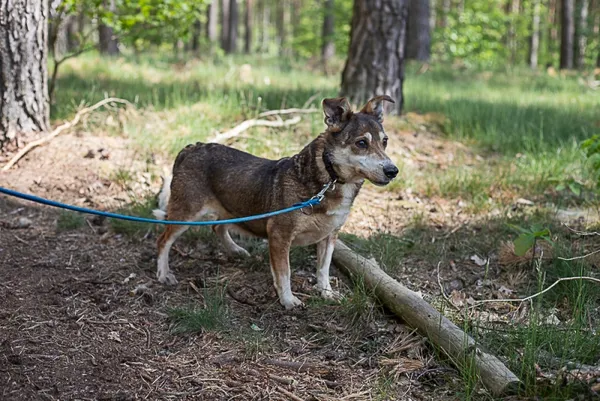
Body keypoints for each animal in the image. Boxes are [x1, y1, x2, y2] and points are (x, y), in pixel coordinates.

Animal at [154, 95, 398, 308]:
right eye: (361, 143)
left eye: (385, 141)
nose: (393, 171)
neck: (329, 180)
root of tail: (190, 148)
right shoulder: (280, 236)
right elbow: (284, 273)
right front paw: (288, 300)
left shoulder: (330, 236)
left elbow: (323, 268)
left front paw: (326, 292)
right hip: (186, 213)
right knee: (163, 240)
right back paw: (164, 273)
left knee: (217, 227)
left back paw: (235, 250)